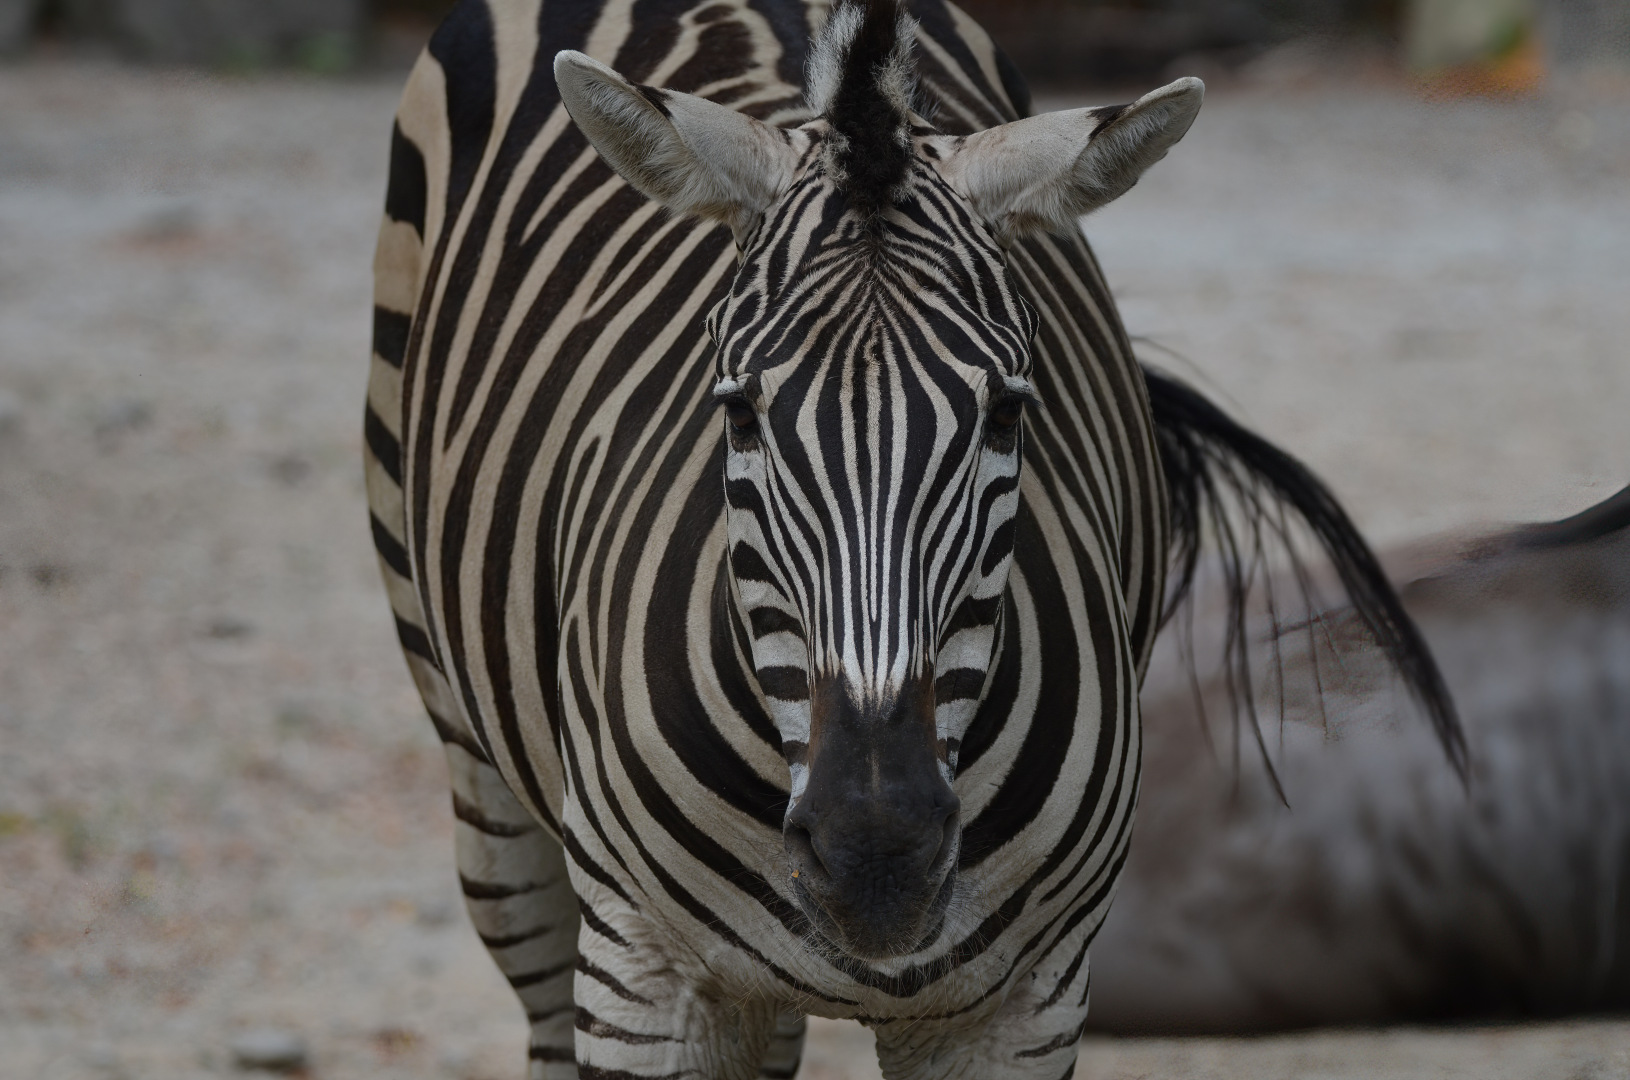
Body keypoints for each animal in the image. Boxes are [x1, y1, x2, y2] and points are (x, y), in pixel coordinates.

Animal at [363, 0, 1459, 1076]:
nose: (875, 856)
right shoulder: (643, 978)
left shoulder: (1022, 1005)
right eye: (739, 413)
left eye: (1007, 415)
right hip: (483, 782)